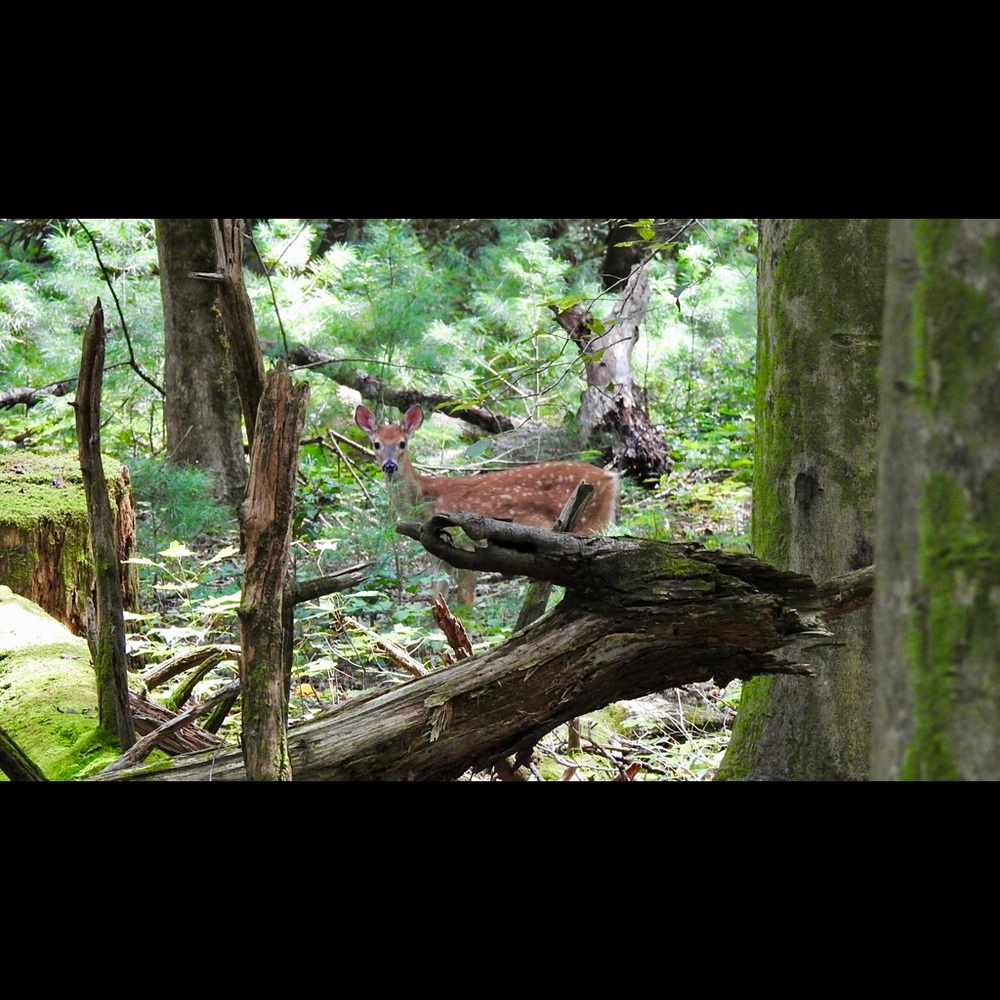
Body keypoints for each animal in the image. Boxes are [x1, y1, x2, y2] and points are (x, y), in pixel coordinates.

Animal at [355, 403, 620, 606]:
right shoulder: (435, 553)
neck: (425, 498)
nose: (389, 466)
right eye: (376, 444)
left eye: (402, 443)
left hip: (587, 523)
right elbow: (436, 600)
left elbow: (465, 601)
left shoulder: (465, 545)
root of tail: (611, 478)